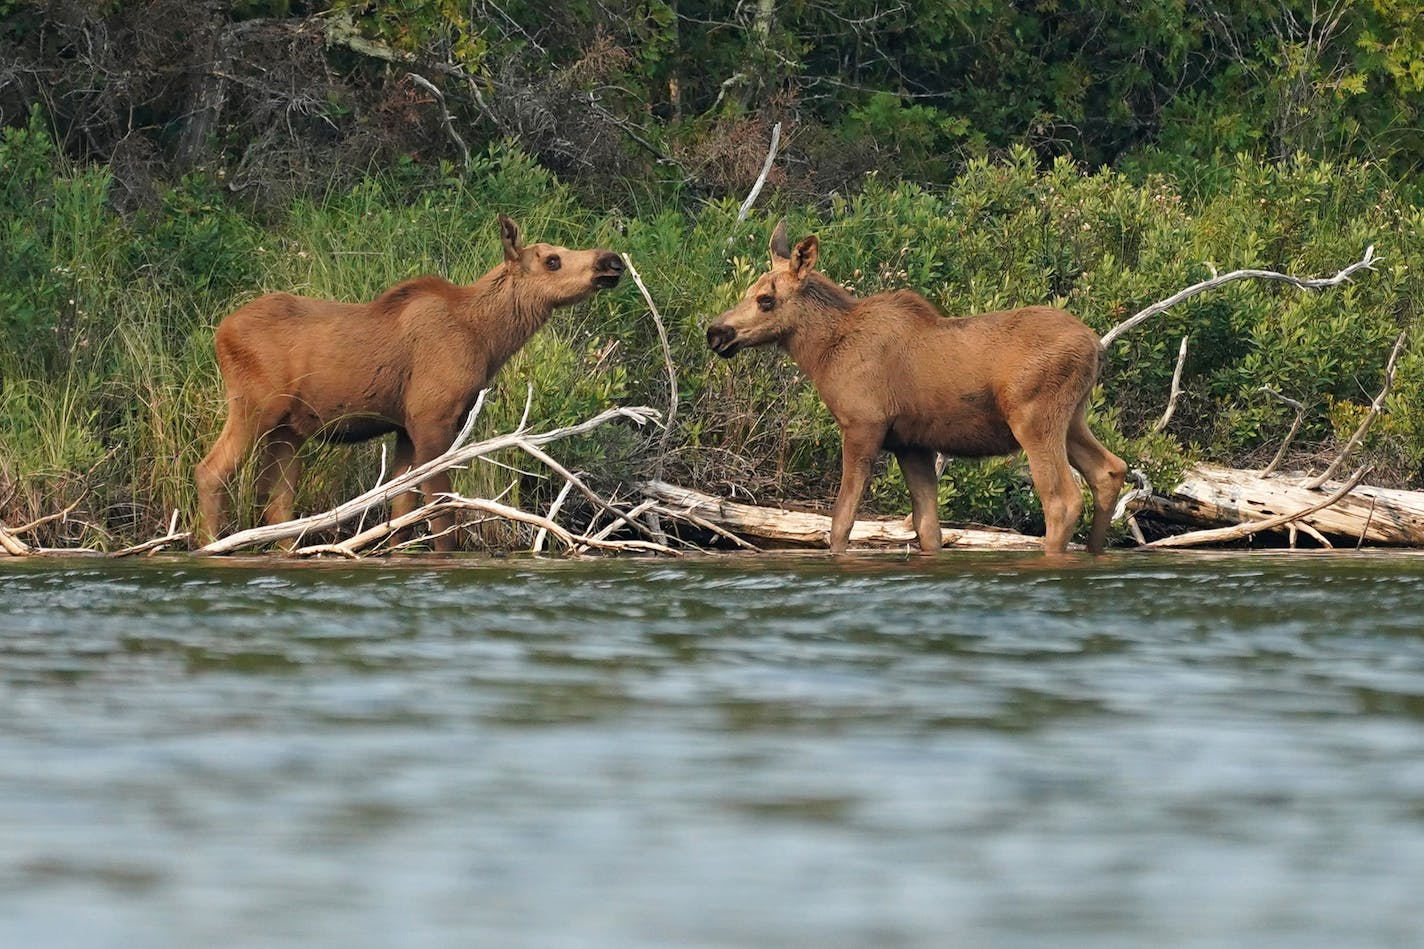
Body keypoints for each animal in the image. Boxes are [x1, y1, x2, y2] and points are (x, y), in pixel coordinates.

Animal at [195, 213, 623, 547]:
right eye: (553, 260)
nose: (613, 259)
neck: (487, 339)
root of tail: (219, 333)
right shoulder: (432, 417)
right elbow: (442, 513)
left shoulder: (404, 426)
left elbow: (401, 514)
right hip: (254, 407)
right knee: (211, 471)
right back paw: (209, 545)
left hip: (288, 430)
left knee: (278, 505)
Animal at [706, 222, 1127, 555]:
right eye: (747, 291)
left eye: (765, 299)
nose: (715, 332)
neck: (823, 354)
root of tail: (1097, 347)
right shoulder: (911, 444)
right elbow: (927, 528)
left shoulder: (863, 425)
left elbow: (841, 521)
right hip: (1073, 417)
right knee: (1109, 471)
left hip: (1034, 419)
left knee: (1062, 500)